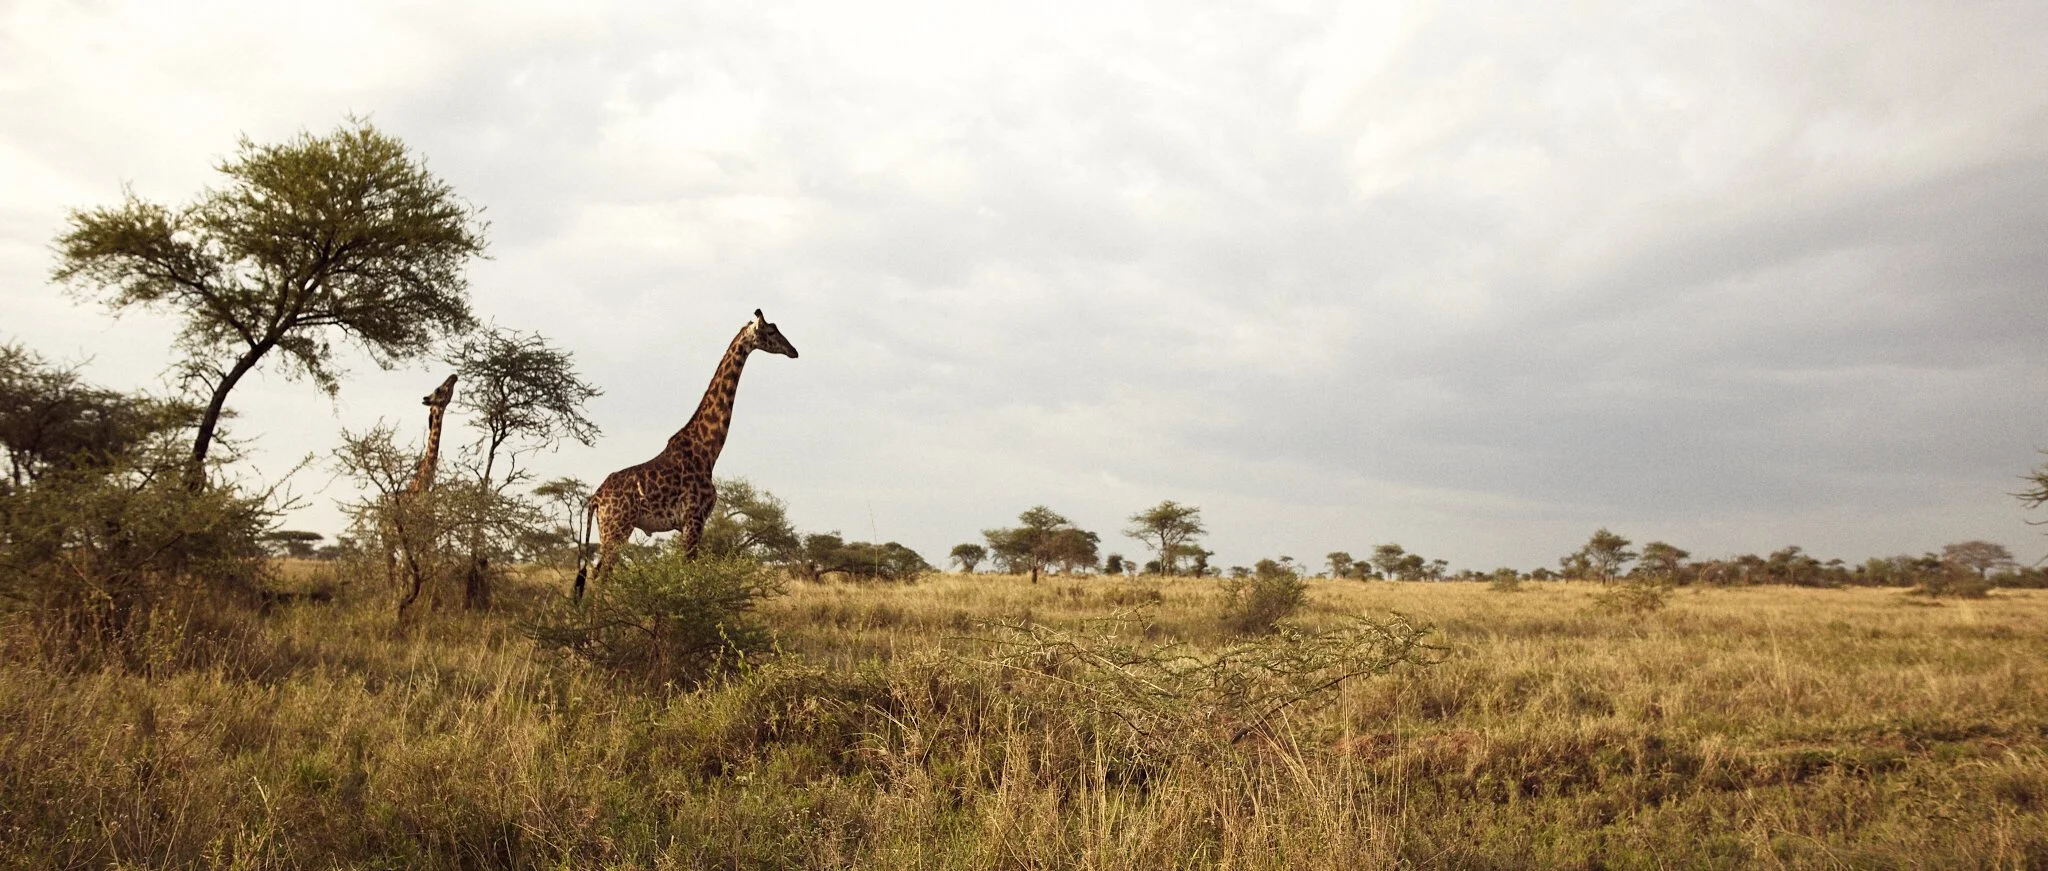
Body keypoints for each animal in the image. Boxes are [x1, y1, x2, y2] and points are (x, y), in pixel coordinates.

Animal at [393, 373, 457, 613]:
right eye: (439, 389)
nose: (454, 376)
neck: (423, 487)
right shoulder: (410, 536)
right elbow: (407, 573)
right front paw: (401, 603)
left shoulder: (428, 537)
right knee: (394, 569)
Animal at [575, 309, 798, 600]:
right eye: (771, 331)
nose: (793, 351)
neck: (707, 450)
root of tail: (595, 498)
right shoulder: (694, 519)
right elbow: (689, 579)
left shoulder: (690, 524)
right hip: (616, 529)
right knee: (601, 577)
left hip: (611, 531)